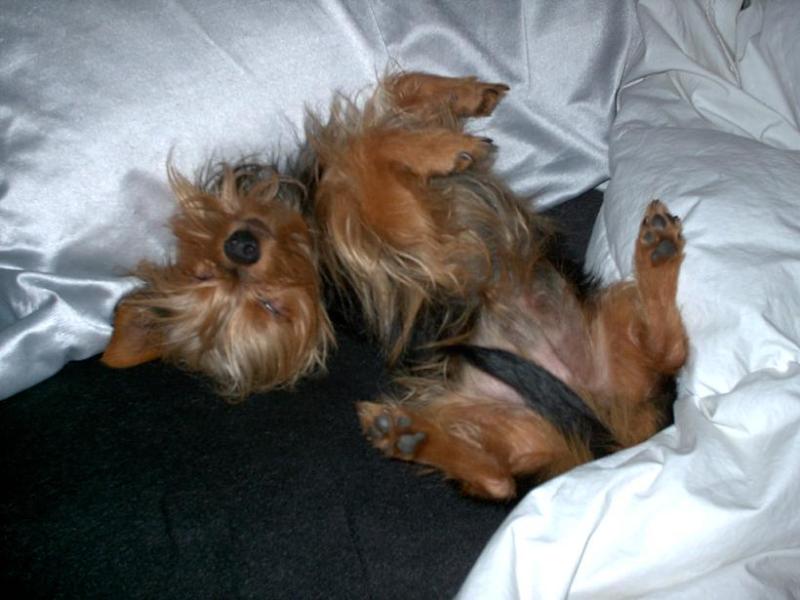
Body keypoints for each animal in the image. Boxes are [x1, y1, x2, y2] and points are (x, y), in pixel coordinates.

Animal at [308, 72, 688, 499]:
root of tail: (611, 433)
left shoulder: (413, 230)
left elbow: (376, 127)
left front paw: (454, 118)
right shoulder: (419, 238)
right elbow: (369, 139)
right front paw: (449, 130)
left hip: (608, 324)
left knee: (670, 352)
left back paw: (657, 252)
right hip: (492, 412)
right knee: (497, 481)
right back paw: (405, 435)